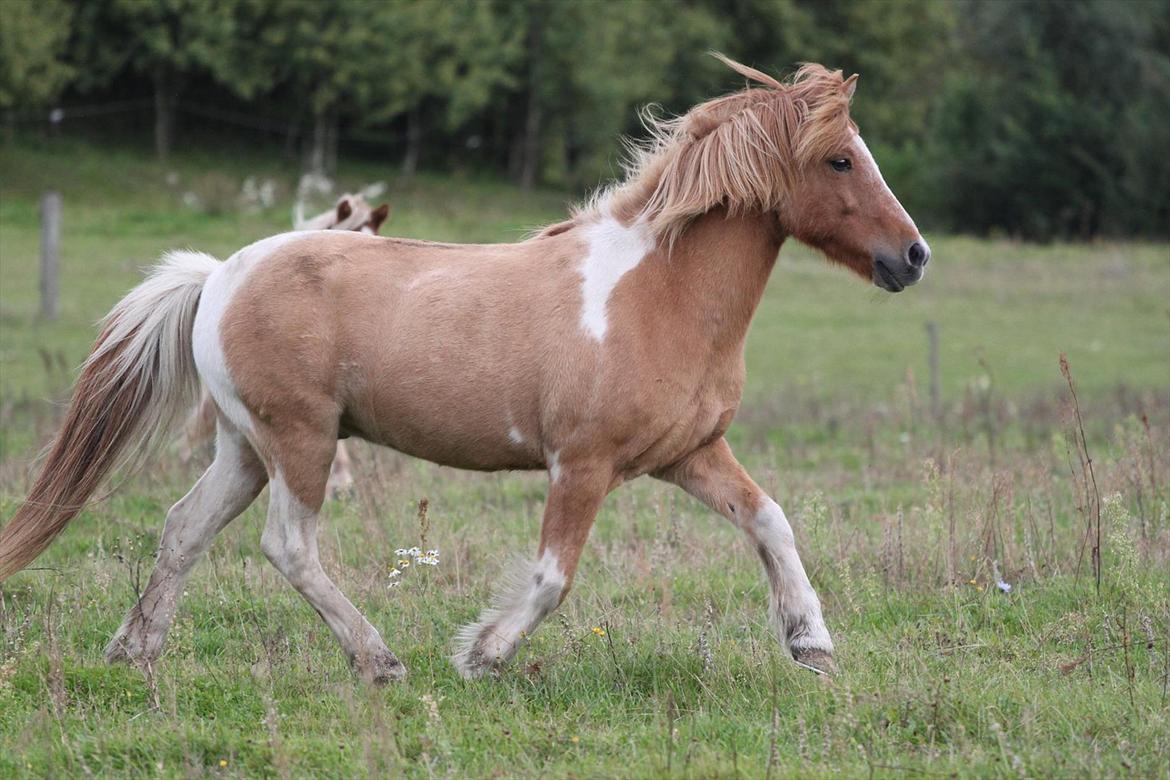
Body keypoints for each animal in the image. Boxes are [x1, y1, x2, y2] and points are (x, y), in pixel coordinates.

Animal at [0, 57, 931, 682]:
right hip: (299, 439)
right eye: (841, 160)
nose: (913, 257)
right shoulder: (582, 464)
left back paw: (135, 651)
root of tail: (220, 274)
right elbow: (553, 577)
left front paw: (812, 642)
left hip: (242, 445)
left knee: (184, 529)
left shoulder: (690, 455)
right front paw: (481, 653)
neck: (657, 293)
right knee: (287, 546)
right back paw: (377, 660)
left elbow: (770, 520)